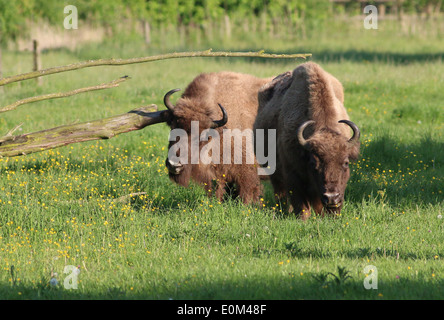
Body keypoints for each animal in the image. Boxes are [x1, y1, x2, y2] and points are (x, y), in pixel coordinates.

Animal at [253, 61, 360, 219]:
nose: (331, 197)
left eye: (346, 163)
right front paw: (302, 219)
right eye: (314, 163)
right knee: (280, 192)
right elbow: (301, 204)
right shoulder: (292, 174)